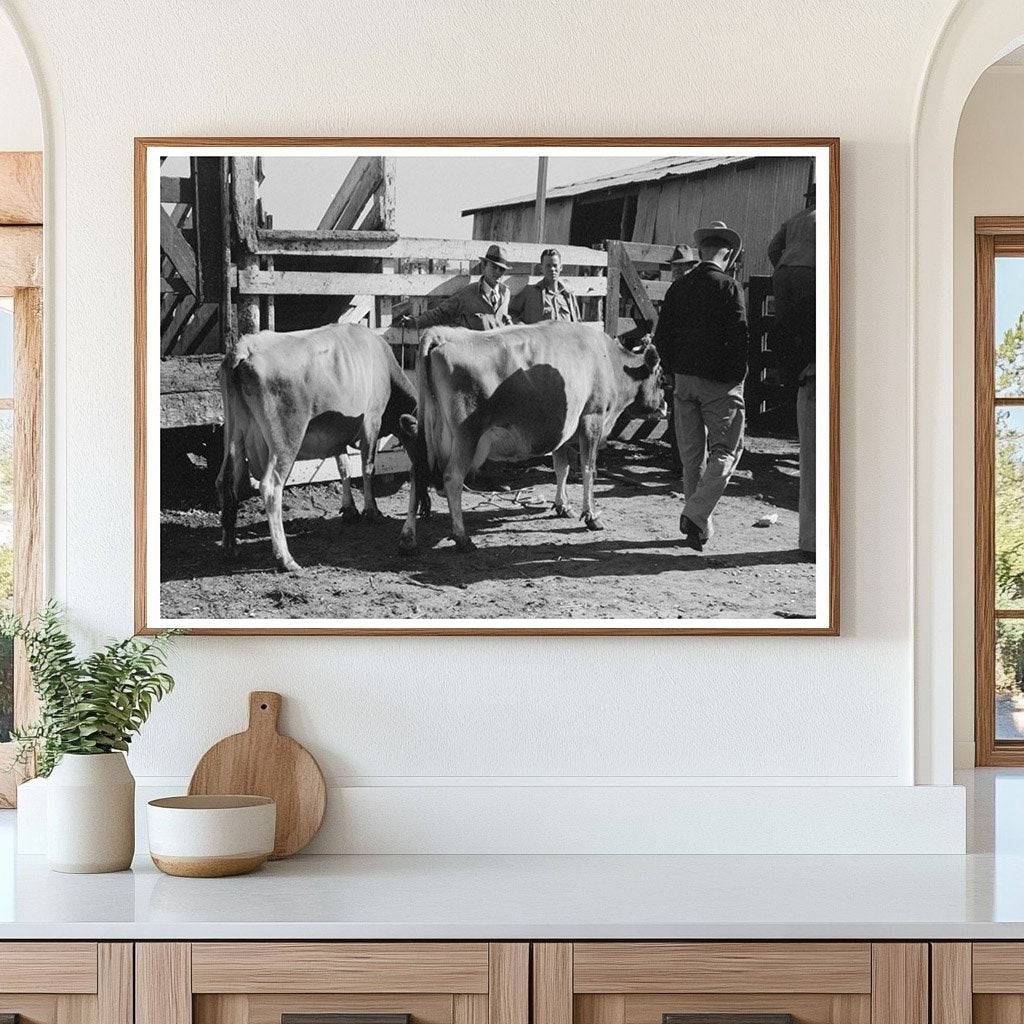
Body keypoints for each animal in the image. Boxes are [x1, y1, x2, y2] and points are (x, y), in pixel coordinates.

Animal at [218, 323, 430, 573]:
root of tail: (243, 347)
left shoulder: (336, 433)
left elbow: (344, 467)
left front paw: (350, 509)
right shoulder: (372, 420)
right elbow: (367, 467)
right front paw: (372, 511)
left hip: (234, 432)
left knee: (225, 480)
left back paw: (230, 547)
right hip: (286, 438)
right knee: (270, 486)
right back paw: (285, 558)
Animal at [399, 323, 671, 557]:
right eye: (661, 378)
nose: (665, 406)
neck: (609, 361)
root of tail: (442, 334)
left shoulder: (563, 431)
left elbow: (561, 468)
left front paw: (563, 506)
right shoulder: (592, 419)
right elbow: (588, 469)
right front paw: (592, 516)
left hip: (428, 433)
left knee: (417, 473)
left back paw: (409, 539)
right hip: (466, 435)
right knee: (452, 478)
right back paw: (462, 538)